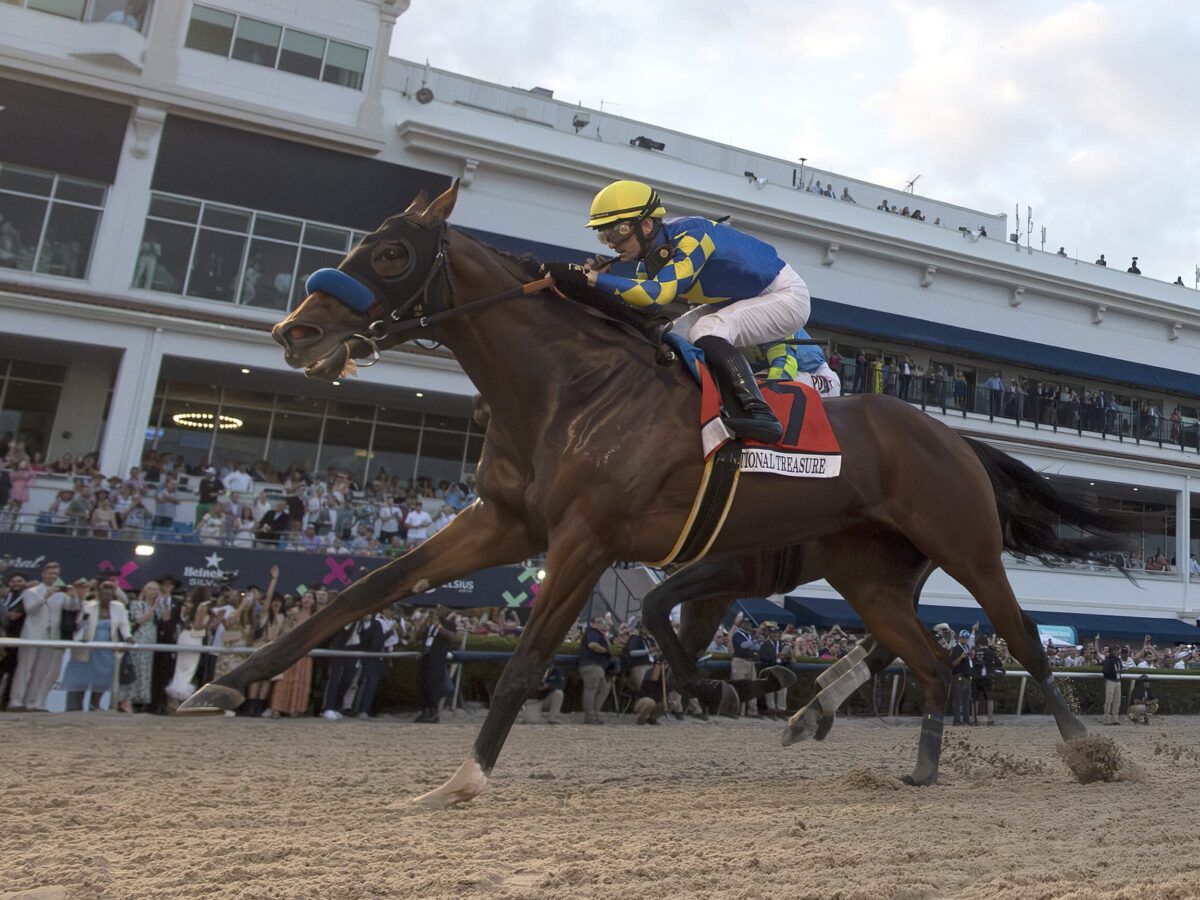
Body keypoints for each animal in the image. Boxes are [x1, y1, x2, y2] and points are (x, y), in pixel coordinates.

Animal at [177, 184, 1132, 811]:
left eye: (389, 252)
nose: (294, 331)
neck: (566, 387)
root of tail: (950, 435)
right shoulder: (505, 523)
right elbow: (366, 591)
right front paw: (224, 688)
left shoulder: (588, 540)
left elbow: (530, 657)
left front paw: (465, 775)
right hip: (871, 576)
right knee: (933, 662)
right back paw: (916, 764)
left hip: (966, 548)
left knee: (1022, 645)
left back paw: (1088, 755)